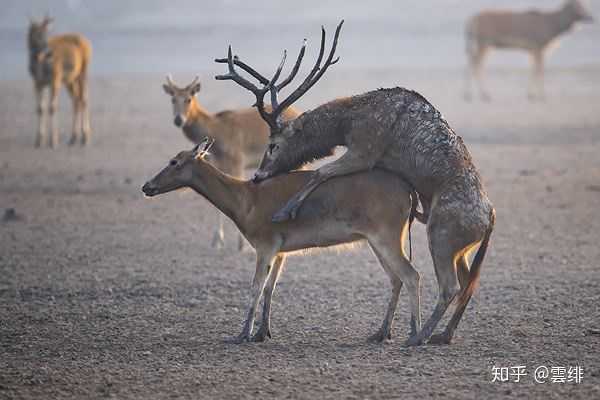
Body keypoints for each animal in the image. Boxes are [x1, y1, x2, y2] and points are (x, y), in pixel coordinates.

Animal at [27, 16, 92, 147]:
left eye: (47, 33)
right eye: (38, 34)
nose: (48, 51)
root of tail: (86, 42)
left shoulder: (55, 79)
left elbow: (52, 107)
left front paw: (53, 141)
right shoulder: (38, 82)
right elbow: (40, 108)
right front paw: (39, 140)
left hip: (82, 72)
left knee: (83, 99)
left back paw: (85, 137)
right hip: (70, 80)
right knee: (76, 100)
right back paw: (73, 137)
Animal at [142, 138, 420, 344]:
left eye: (174, 161)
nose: (147, 186)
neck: (246, 200)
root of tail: (409, 190)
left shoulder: (265, 246)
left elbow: (255, 287)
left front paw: (242, 335)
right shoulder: (279, 251)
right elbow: (270, 288)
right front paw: (262, 333)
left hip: (386, 238)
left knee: (411, 275)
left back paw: (414, 336)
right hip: (376, 242)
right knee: (396, 279)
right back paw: (381, 333)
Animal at [162, 75, 300, 250]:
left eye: (188, 99)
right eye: (173, 99)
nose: (178, 120)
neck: (216, 131)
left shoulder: (237, 161)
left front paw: (242, 245)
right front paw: (217, 241)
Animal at [217, 21, 496, 346]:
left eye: (273, 144)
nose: (257, 175)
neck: (349, 119)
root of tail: (490, 217)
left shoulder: (365, 150)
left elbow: (320, 172)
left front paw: (284, 211)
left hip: (441, 236)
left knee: (450, 285)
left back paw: (419, 336)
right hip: (461, 250)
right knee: (469, 283)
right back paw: (443, 334)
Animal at [462, 0, 592, 101]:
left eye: (584, 5)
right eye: (578, 7)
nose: (591, 17)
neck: (552, 25)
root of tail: (470, 21)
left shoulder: (532, 50)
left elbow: (533, 69)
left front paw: (531, 94)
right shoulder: (539, 47)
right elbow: (539, 70)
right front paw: (541, 95)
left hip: (480, 44)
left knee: (472, 62)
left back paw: (469, 94)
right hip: (484, 43)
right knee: (477, 64)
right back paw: (483, 94)